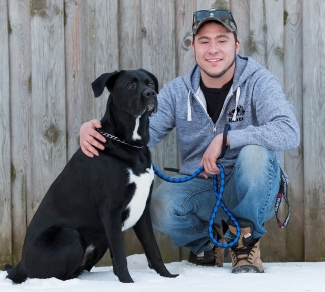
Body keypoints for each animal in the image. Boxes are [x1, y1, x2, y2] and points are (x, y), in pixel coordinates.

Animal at [5, 68, 177, 282]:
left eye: (150, 84)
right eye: (130, 85)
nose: (151, 94)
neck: (128, 144)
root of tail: (20, 264)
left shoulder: (142, 209)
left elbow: (153, 249)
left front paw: (168, 277)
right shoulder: (111, 211)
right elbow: (121, 255)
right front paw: (128, 283)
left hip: (100, 238)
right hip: (70, 236)